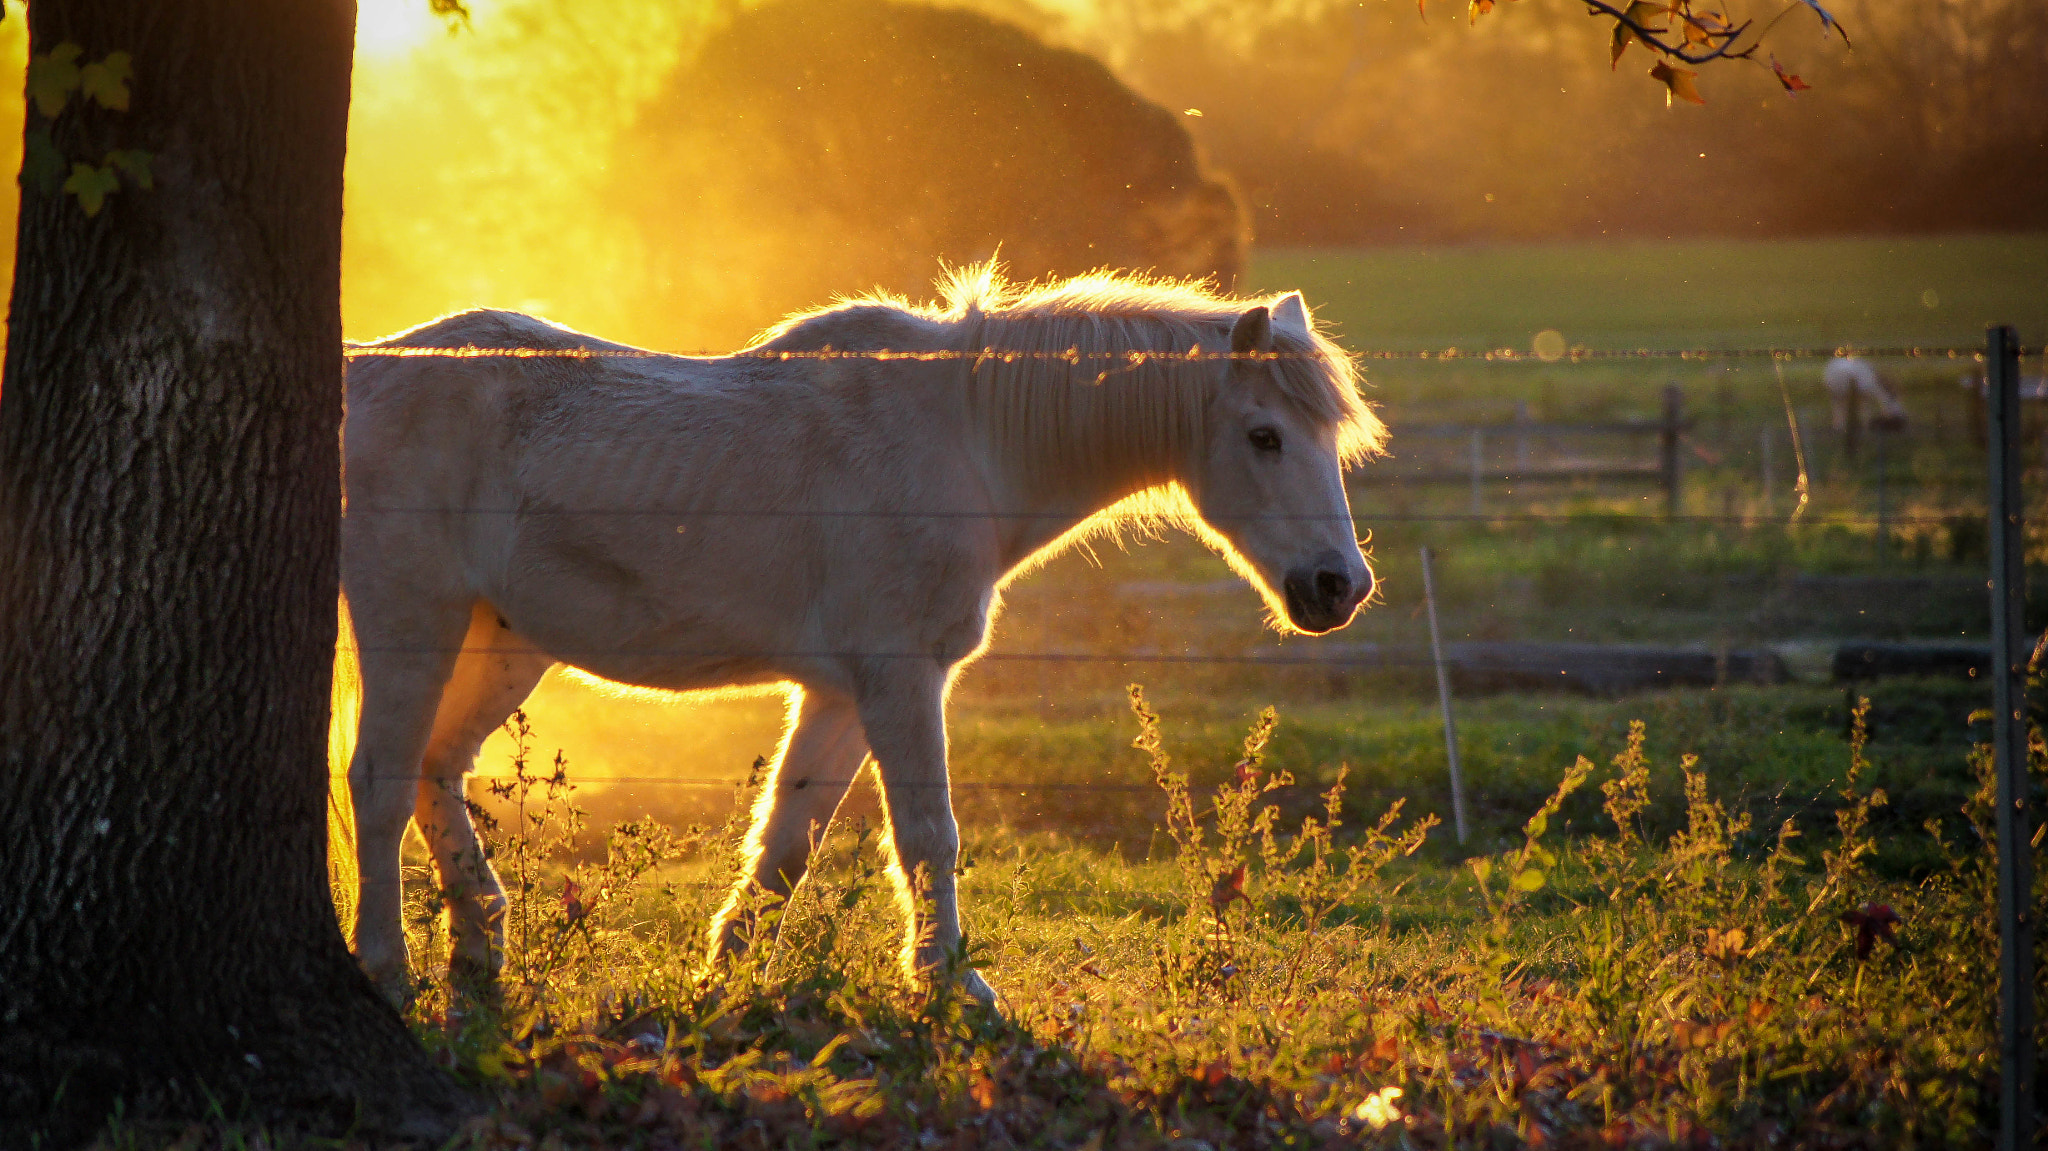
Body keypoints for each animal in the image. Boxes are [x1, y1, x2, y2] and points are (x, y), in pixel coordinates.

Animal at [344, 264, 1384, 999]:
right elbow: (927, 832)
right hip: (413, 627)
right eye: (1263, 436)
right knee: (380, 782)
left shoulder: (840, 693)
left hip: (502, 644)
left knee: (437, 768)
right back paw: (387, 965)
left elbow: (785, 844)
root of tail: (362, 371)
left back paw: (479, 945)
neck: (966, 441)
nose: (1338, 587)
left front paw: (721, 979)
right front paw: (953, 984)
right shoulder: (900, 678)